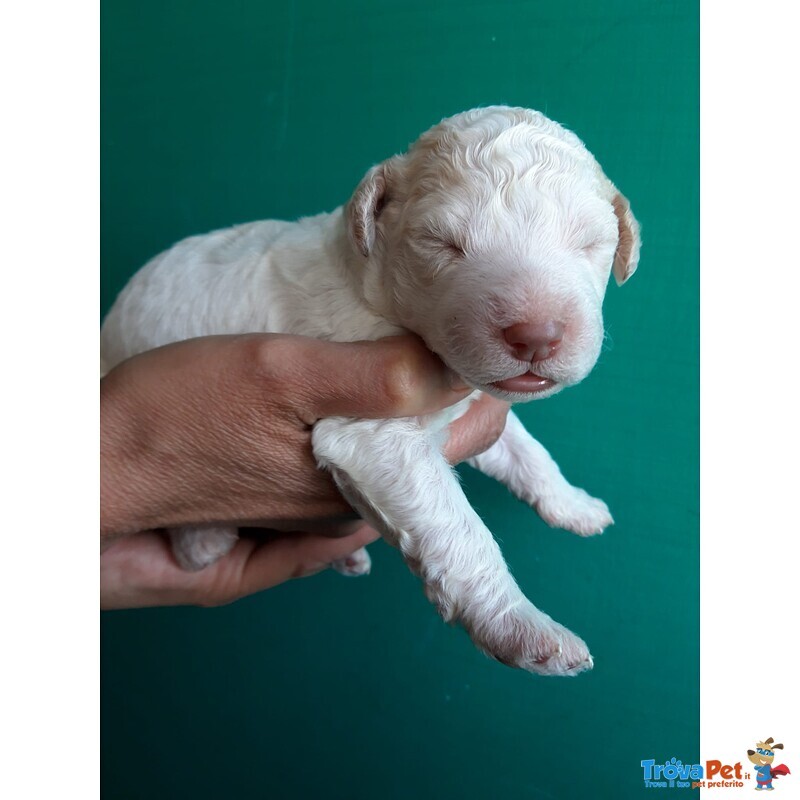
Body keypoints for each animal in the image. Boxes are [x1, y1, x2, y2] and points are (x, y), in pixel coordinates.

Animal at [100, 104, 640, 676]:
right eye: (444, 245)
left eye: (587, 243)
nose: (536, 335)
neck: (371, 286)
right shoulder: (370, 432)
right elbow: (460, 531)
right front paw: (525, 630)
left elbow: (525, 449)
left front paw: (573, 503)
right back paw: (205, 541)